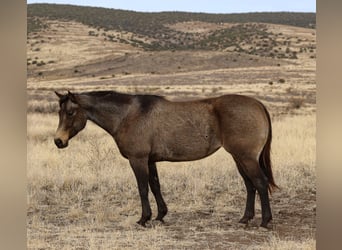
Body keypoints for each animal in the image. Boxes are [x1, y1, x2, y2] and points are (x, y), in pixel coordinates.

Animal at [54, 90, 278, 229]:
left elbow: (143, 188)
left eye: (70, 112)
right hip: (239, 158)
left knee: (260, 183)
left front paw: (143, 218)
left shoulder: (138, 160)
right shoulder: (150, 161)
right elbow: (155, 186)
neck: (128, 115)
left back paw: (265, 221)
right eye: (59, 112)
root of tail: (258, 104)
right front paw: (161, 215)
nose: (58, 141)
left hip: (246, 158)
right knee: (250, 185)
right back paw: (245, 218)